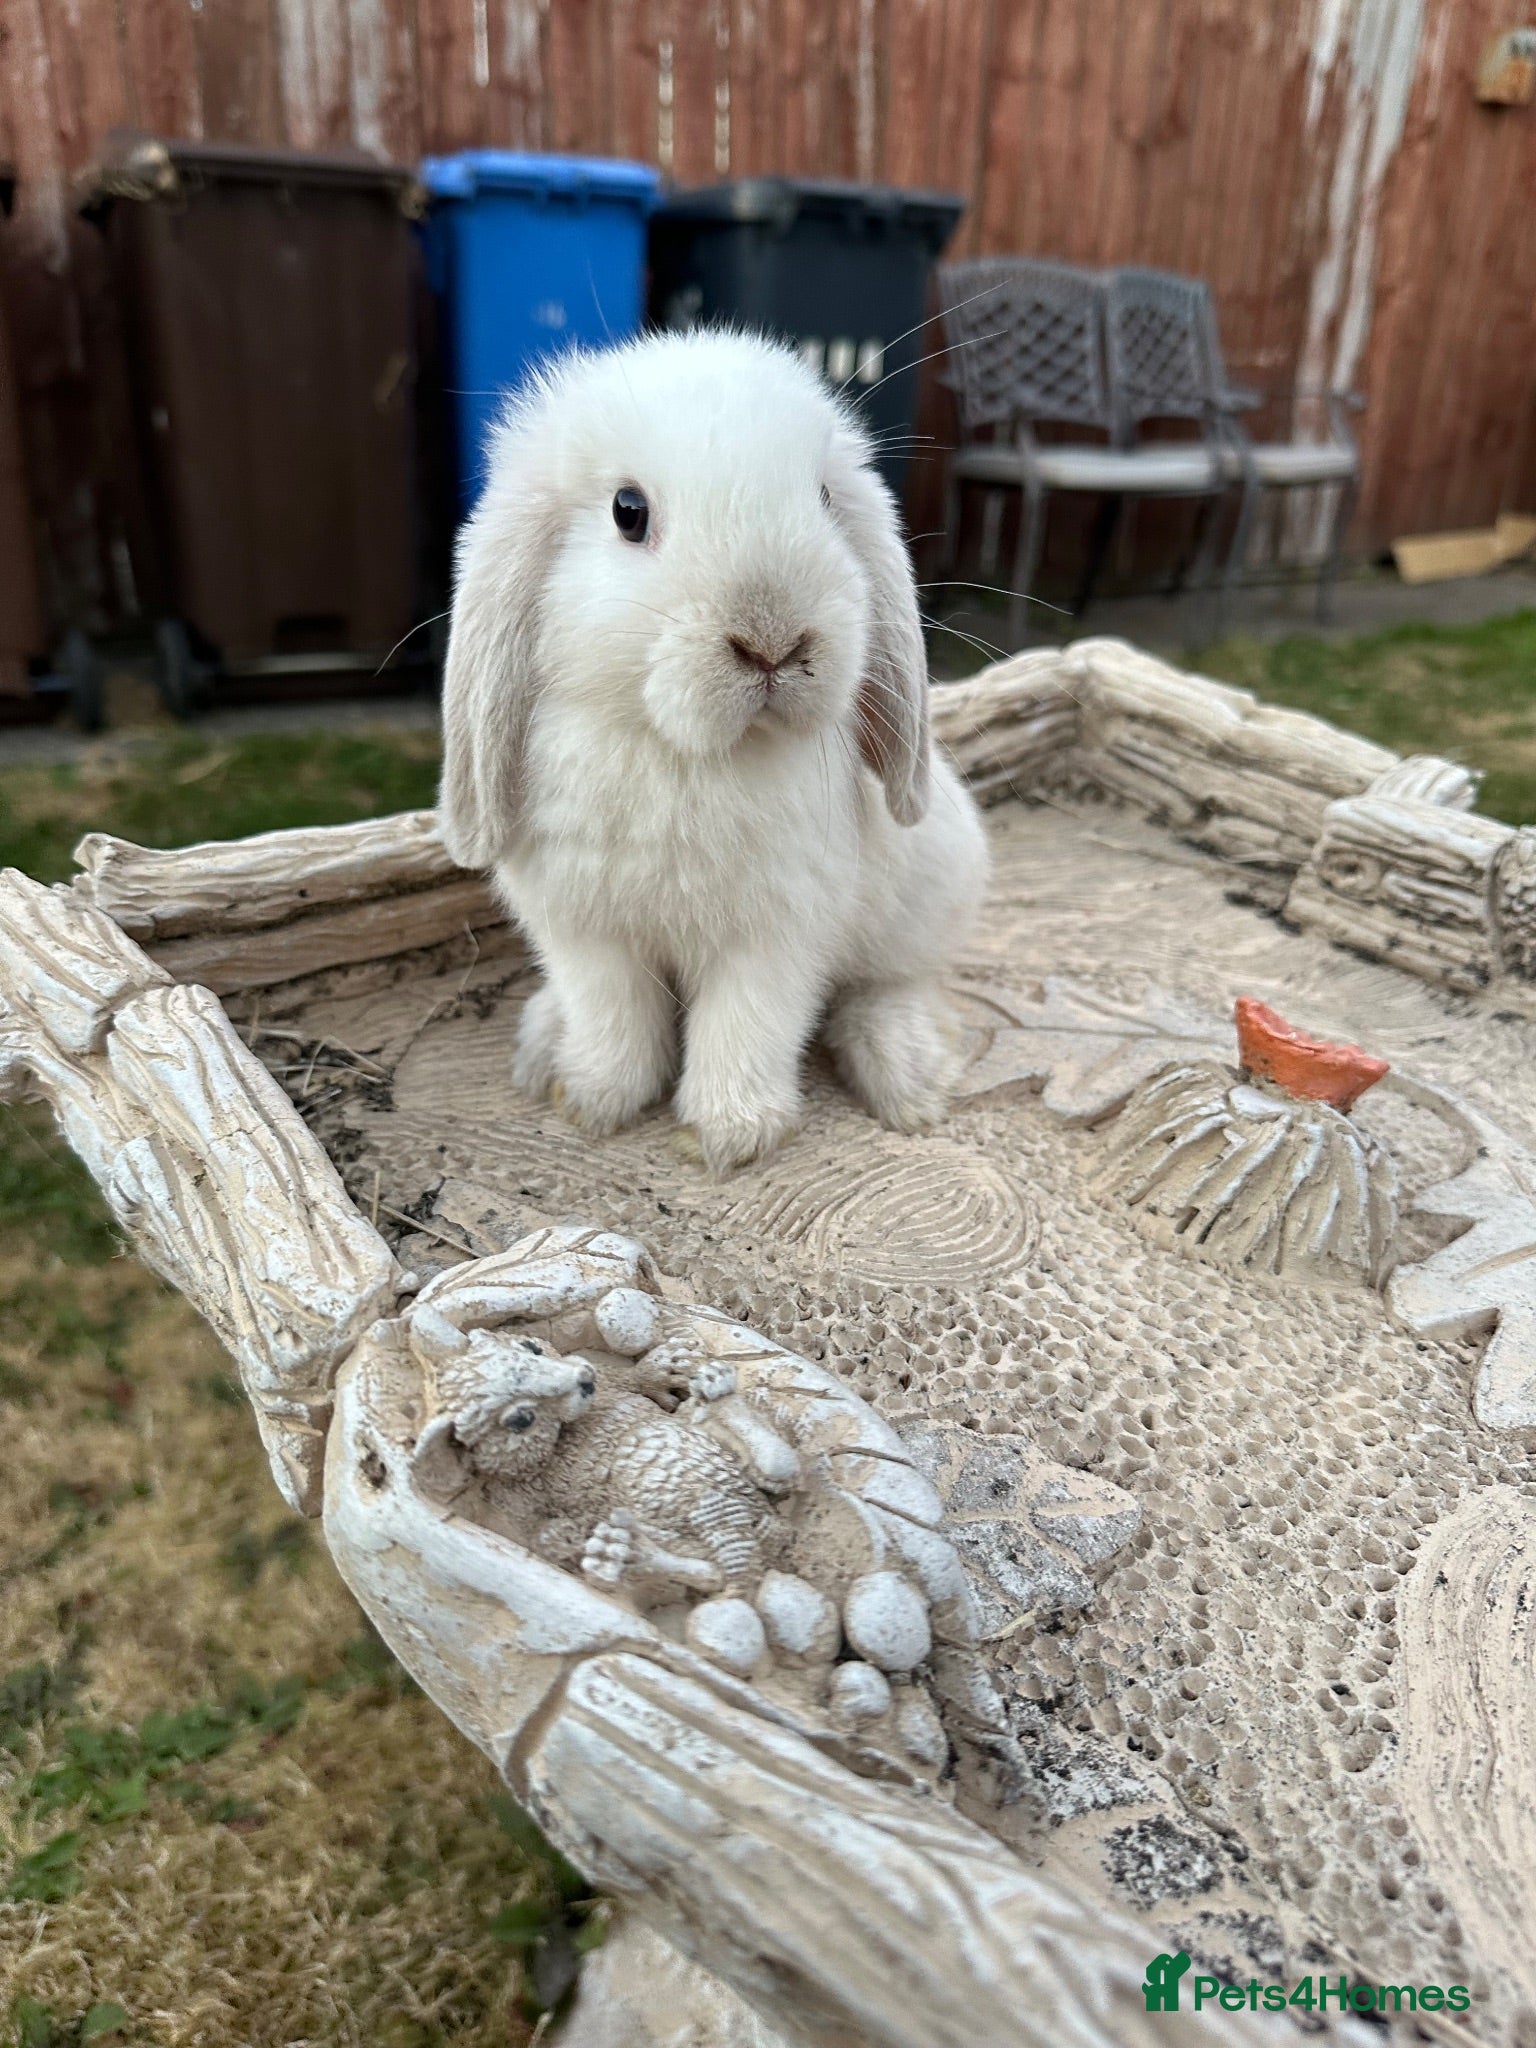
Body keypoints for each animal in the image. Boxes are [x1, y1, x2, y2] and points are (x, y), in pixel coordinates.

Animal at [438, 327, 989, 1174]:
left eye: (825, 498)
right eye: (628, 512)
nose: (773, 641)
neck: (682, 754)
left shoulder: (773, 939)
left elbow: (746, 1027)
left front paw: (727, 1137)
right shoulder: (587, 935)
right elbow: (614, 1019)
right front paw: (592, 1102)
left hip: (927, 898)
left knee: (890, 982)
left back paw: (907, 1073)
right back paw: (544, 1044)